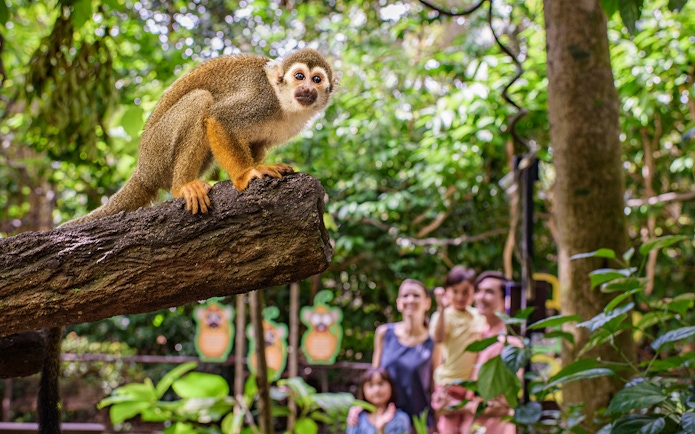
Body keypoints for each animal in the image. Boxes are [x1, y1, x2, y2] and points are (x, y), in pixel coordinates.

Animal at [37, 47, 337, 433]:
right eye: (299, 76)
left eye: (316, 79)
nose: (307, 91)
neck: (285, 106)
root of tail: (142, 167)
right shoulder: (260, 102)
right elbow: (219, 118)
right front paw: (246, 174)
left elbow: (254, 143)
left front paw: (259, 167)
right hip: (160, 150)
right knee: (201, 101)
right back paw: (183, 186)